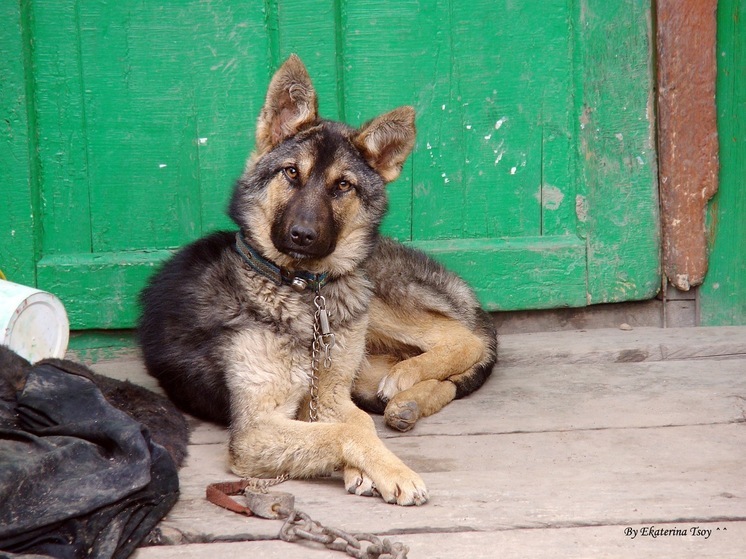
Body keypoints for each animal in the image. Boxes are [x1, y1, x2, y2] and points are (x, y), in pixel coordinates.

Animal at [140, 54, 500, 506]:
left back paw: (407, 379)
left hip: (370, 296)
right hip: (365, 365)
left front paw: (381, 469)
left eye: (342, 185)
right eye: (291, 173)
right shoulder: (260, 427)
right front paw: (375, 470)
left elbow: (352, 425)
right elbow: (346, 429)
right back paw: (408, 401)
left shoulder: (322, 395)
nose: (302, 236)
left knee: (463, 338)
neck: (298, 292)